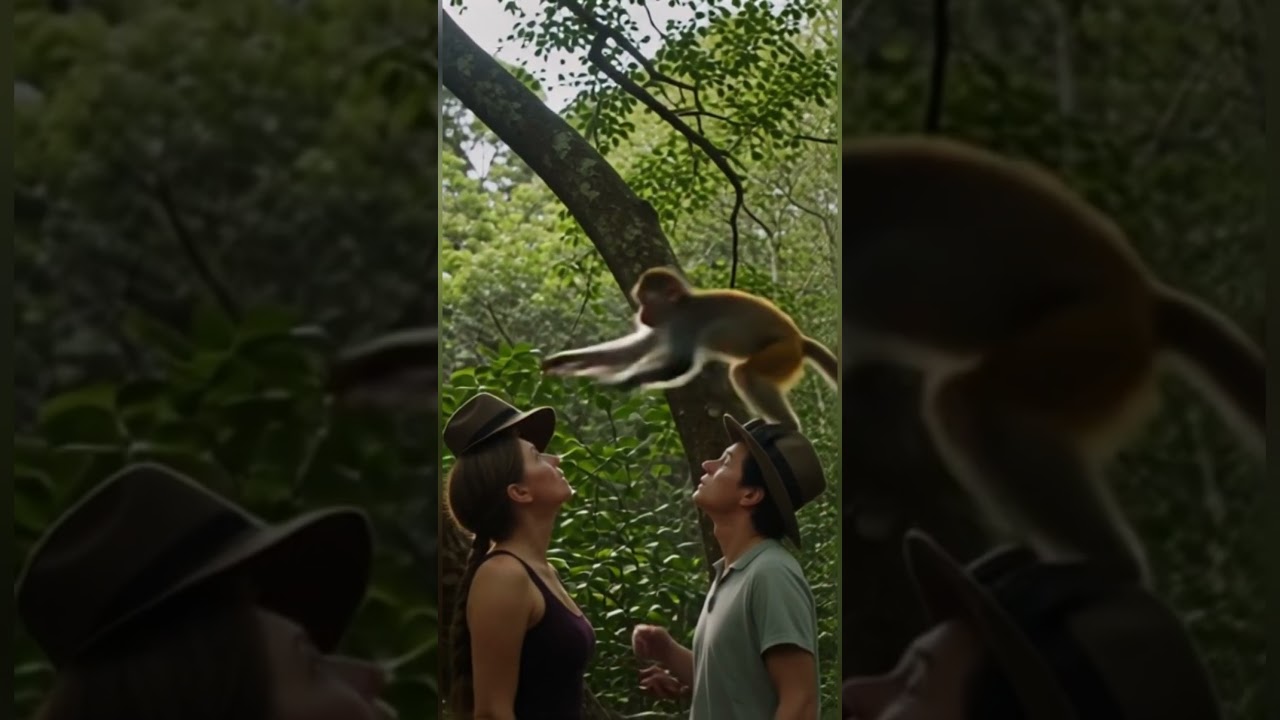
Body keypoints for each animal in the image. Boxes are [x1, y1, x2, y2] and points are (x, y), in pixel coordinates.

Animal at [540, 267, 839, 431]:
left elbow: (680, 364)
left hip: (782, 354)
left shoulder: (685, 322)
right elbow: (632, 352)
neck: (679, 307)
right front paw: (563, 362)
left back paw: (787, 425)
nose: (641, 314)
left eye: (647, 301)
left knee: (746, 373)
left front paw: (625, 382)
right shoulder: (665, 325)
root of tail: (799, 339)